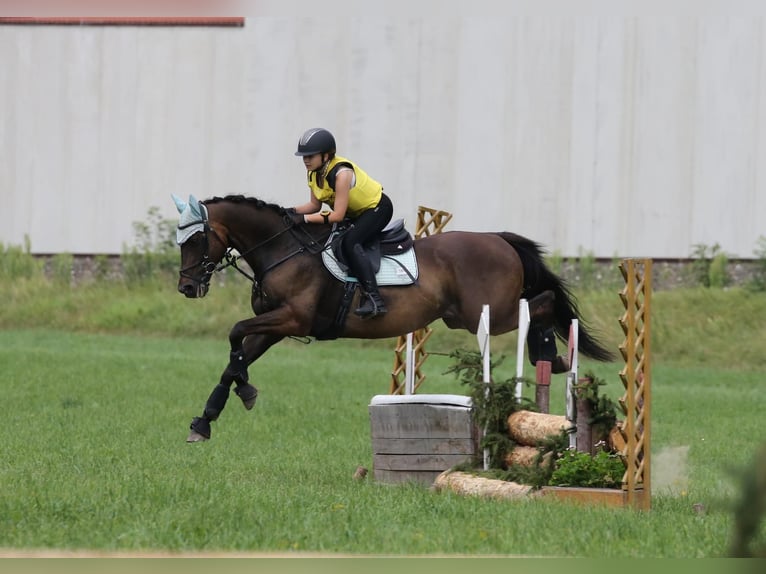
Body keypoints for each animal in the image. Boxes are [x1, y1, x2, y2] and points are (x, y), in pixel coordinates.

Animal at [171, 196, 616, 444]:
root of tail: (498, 239)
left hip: (488, 313)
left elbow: (235, 334)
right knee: (539, 304)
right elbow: (236, 359)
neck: (282, 250)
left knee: (541, 303)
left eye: (197, 239)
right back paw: (551, 358)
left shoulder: (291, 320)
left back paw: (551, 355)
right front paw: (207, 419)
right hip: (465, 317)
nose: (187, 288)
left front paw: (238, 396)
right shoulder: (275, 327)